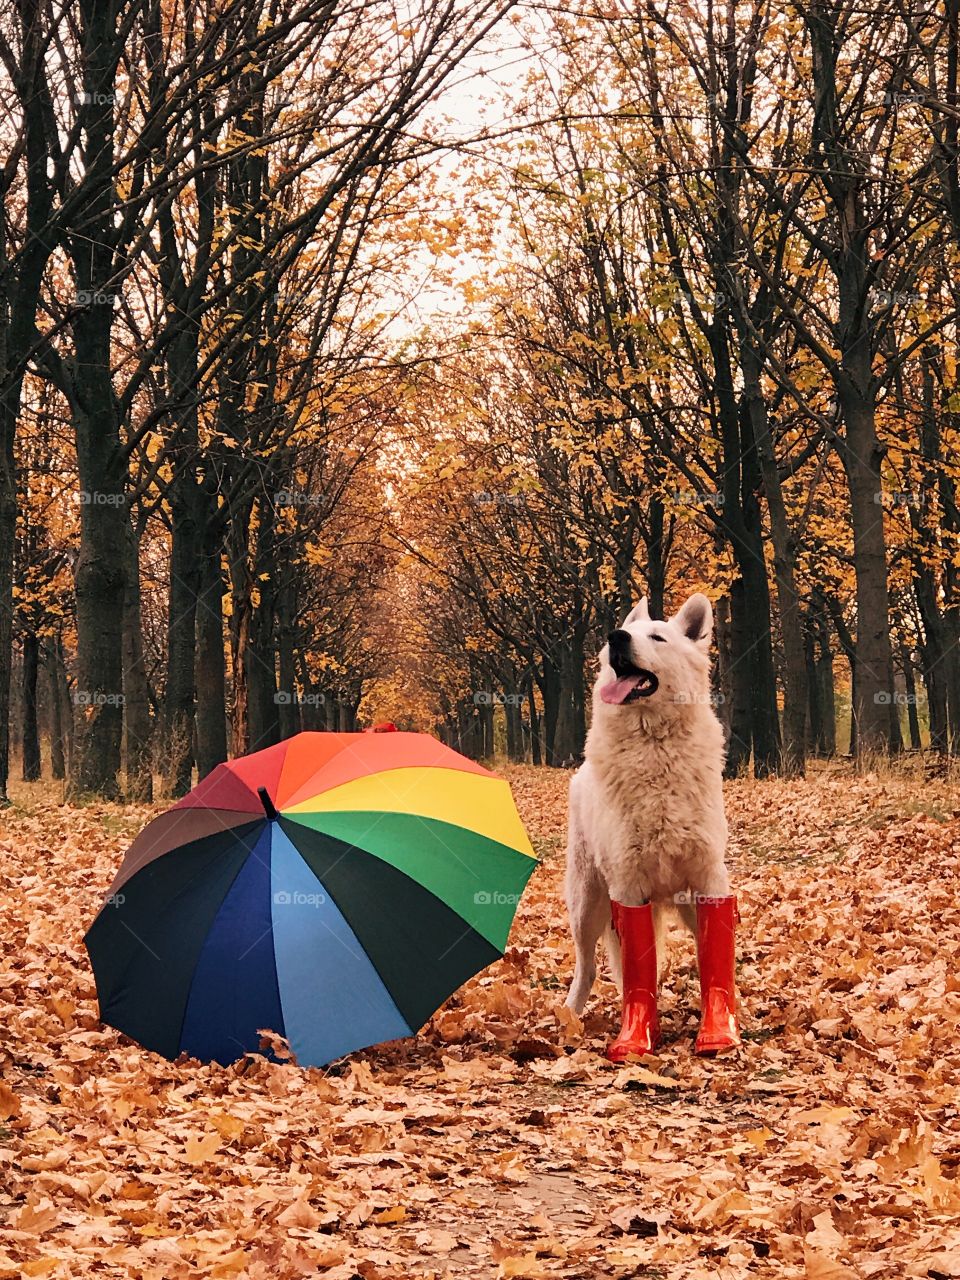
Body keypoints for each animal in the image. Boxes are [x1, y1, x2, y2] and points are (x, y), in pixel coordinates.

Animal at [568, 593, 742, 1054]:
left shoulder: (709, 878)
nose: (616, 637)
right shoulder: (628, 885)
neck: (654, 748)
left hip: (684, 904)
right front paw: (638, 1034)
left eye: (658, 638)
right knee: (589, 967)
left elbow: (714, 963)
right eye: (624, 632)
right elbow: (635, 969)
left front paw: (720, 1027)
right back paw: (568, 1016)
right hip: (587, 906)